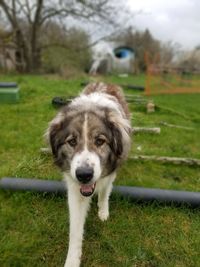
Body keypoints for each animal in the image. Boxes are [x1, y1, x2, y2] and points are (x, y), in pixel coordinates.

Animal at [46, 82, 132, 266]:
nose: (84, 175)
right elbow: (75, 230)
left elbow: (105, 192)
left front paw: (103, 211)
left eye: (100, 141)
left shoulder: (110, 173)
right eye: (72, 141)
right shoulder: (75, 189)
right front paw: (72, 260)